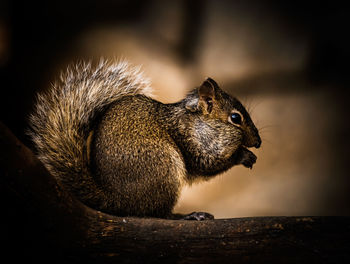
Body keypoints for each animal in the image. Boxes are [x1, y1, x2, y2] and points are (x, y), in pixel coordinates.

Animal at [28, 60, 262, 220]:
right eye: (235, 118)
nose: (258, 142)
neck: (197, 122)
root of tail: (115, 199)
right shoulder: (189, 140)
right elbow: (205, 164)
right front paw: (243, 155)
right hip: (164, 168)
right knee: (158, 214)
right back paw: (188, 215)